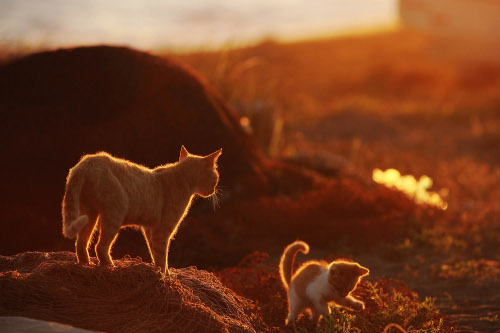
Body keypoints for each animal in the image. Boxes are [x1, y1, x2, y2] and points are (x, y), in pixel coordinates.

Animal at [61, 146, 221, 274]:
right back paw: (110, 266)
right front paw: (165, 275)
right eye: (216, 178)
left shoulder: (150, 229)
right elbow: (162, 255)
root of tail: (87, 161)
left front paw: (160, 271)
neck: (182, 178)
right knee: (100, 246)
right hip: (114, 213)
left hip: (89, 214)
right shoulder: (162, 230)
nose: (214, 190)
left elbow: (154, 252)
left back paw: (85, 264)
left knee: (81, 242)